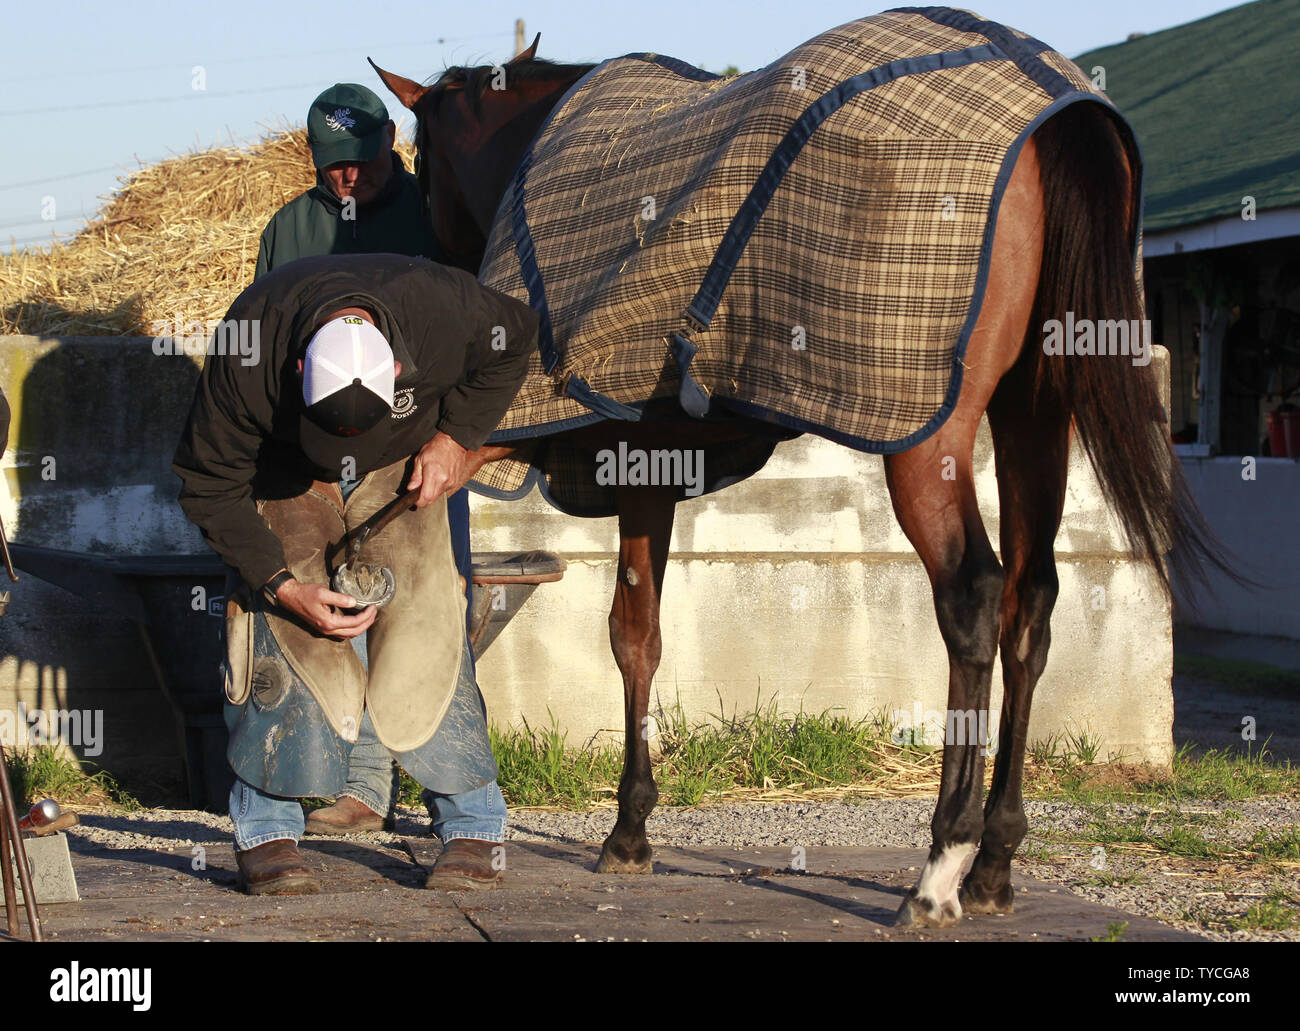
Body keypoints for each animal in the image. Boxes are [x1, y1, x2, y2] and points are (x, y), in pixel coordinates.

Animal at [371, 10, 1222, 925]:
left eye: (423, 167)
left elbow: (617, 629)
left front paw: (619, 829)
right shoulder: (649, 465)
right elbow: (640, 635)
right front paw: (631, 828)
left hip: (929, 439)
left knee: (974, 597)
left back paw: (941, 866)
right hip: (1035, 413)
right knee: (1031, 604)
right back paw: (993, 862)